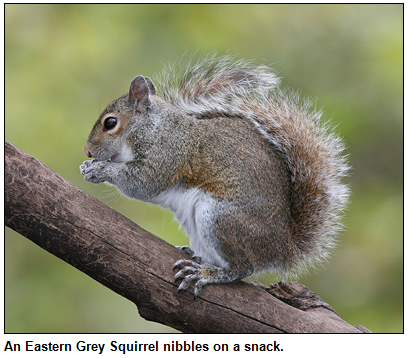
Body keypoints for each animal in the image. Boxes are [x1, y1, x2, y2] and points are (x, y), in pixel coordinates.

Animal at [79, 54, 350, 296]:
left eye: (110, 123)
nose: (88, 151)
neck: (152, 127)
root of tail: (283, 248)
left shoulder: (167, 154)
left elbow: (143, 183)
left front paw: (98, 169)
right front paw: (88, 166)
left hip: (220, 218)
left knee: (243, 267)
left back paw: (207, 273)